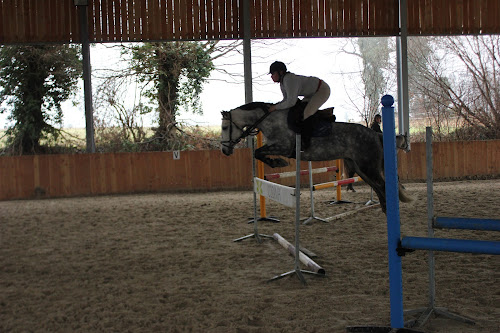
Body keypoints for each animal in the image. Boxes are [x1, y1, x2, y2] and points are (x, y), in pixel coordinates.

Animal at [221, 101, 412, 213]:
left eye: (224, 128)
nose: (224, 150)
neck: (271, 121)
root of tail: (376, 135)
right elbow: (257, 153)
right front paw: (275, 162)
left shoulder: (284, 146)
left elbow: (259, 152)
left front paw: (277, 162)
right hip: (361, 169)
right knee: (380, 188)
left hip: (368, 167)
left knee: (384, 187)